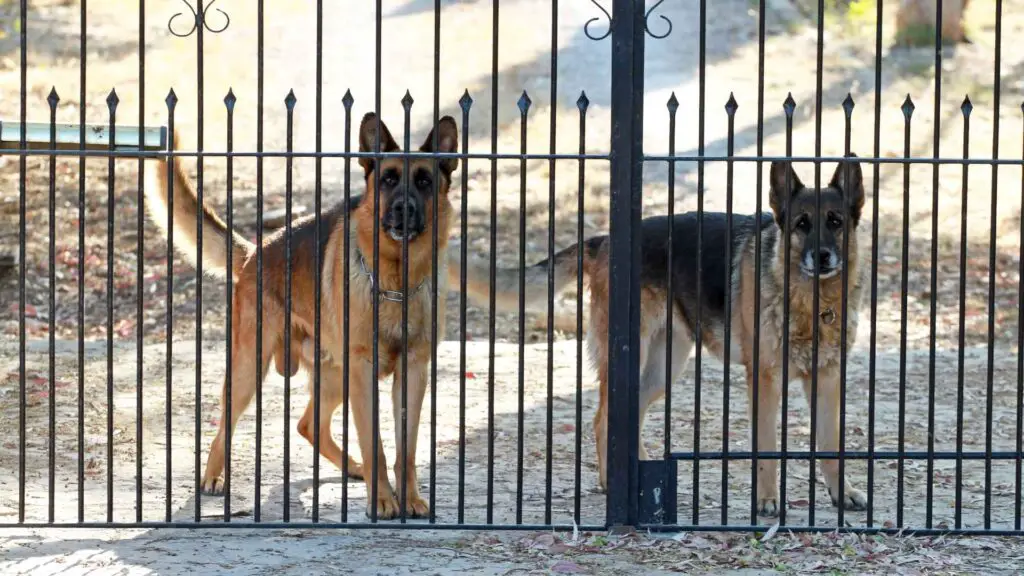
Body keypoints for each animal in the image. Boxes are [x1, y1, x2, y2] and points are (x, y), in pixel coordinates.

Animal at [145, 111, 460, 516]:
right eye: (389, 179)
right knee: (225, 426)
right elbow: (374, 442)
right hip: (251, 368)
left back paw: (353, 468)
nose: (403, 208)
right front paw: (382, 501)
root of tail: (255, 253)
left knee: (309, 425)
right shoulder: (364, 370)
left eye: (424, 181)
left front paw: (410, 499)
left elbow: (405, 449)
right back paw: (214, 477)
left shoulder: (414, 371)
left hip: (335, 376)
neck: (397, 283)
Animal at [456, 154, 872, 512]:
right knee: (603, 419)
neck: (812, 304)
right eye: (802, 224)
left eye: (835, 221)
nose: (823, 256)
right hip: (633, 359)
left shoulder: (827, 382)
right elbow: (767, 448)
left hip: (661, 371)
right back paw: (612, 482)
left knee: (630, 415)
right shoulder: (765, 381)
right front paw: (768, 499)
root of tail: (605, 240)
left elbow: (832, 446)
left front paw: (843, 493)